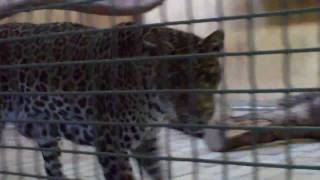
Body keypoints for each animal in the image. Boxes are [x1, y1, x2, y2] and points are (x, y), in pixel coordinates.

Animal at [0, 21, 225, 179]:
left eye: (208, 76)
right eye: (175, 80)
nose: (200, 113)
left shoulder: (147, 143)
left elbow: (159, 173)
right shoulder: (111, 146)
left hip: (46, 133)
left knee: (53, 170)